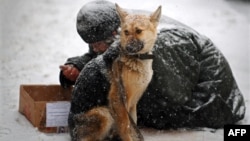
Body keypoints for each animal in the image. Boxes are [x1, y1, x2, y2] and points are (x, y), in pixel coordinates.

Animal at [74, 3, 161, 140]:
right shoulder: (118, 100)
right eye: (126, 32)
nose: (128, 48)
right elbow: (126, 127)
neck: (136, 59)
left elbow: (133, 124)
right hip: (104, 113)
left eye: (139, 31)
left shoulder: (132, 104)